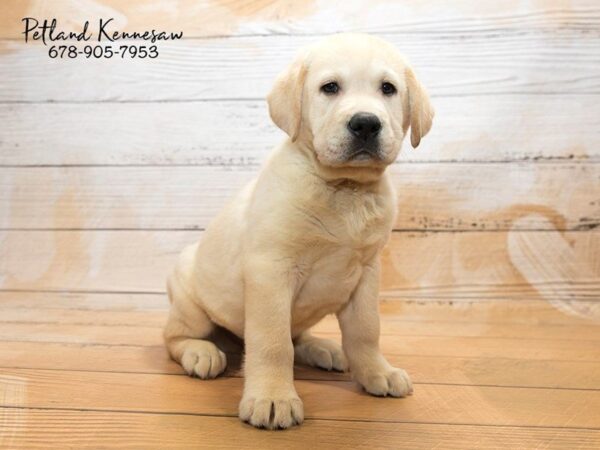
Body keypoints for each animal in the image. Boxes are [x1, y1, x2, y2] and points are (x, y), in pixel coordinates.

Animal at [164, 32, 434, 428]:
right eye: (330, 87)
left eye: (388, 88)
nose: (366, 124)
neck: (345, 189)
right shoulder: (271, 270)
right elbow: (273, 343)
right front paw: (272, 397)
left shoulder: (367, 273)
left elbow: (366, 331)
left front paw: (376, 372)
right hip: (189, 300)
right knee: (174, 336)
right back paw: (202, 352)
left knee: (298, 335)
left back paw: (321, 348)